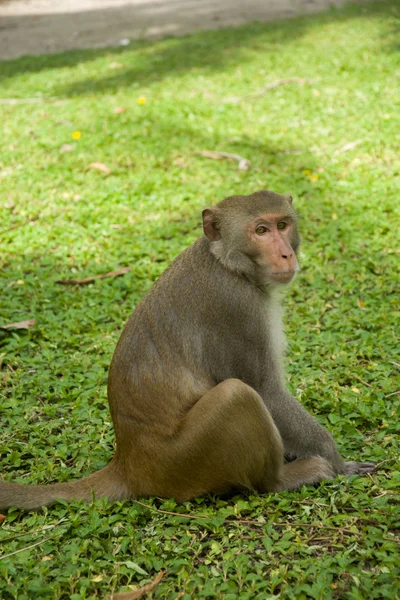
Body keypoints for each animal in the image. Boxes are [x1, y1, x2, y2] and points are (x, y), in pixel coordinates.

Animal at [0, 190, 376, 508]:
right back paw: (284, 479)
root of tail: (128, 462)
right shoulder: (238, 308)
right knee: (237, 395)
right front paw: (338, 461)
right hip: (185, 460)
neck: (228, 264)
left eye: (283, 224)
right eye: (261, 230)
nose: (286, 253)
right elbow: (266, 391)